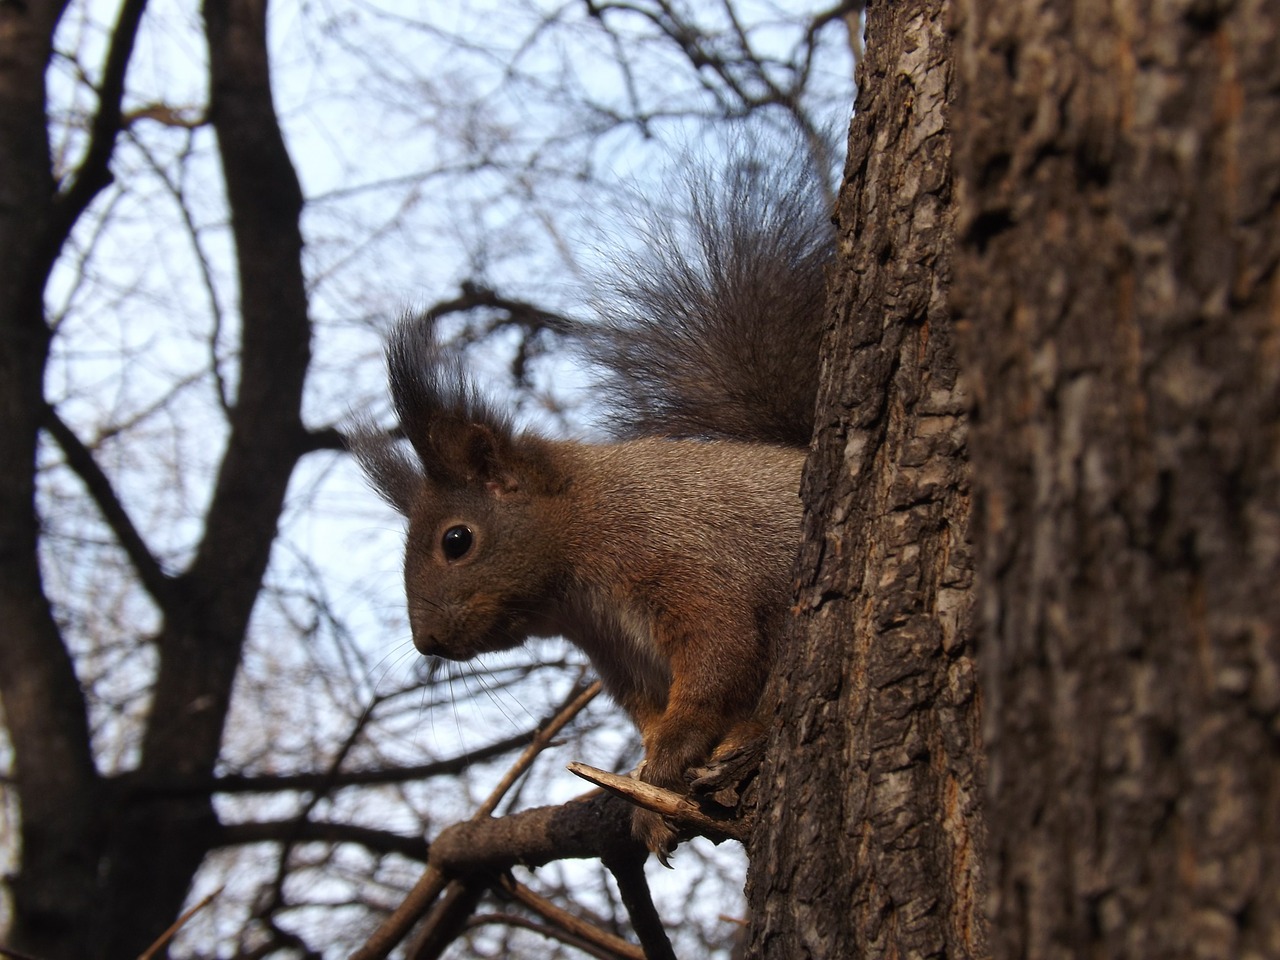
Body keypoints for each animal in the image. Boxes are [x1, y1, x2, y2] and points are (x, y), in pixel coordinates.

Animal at [350, 150, 829, 865]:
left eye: (456, 541)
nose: (426, 642)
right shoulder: (619, 657)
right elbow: (653, 709)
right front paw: (650, 799)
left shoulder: (688, 562)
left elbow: (718, 656)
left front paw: (668, 761)